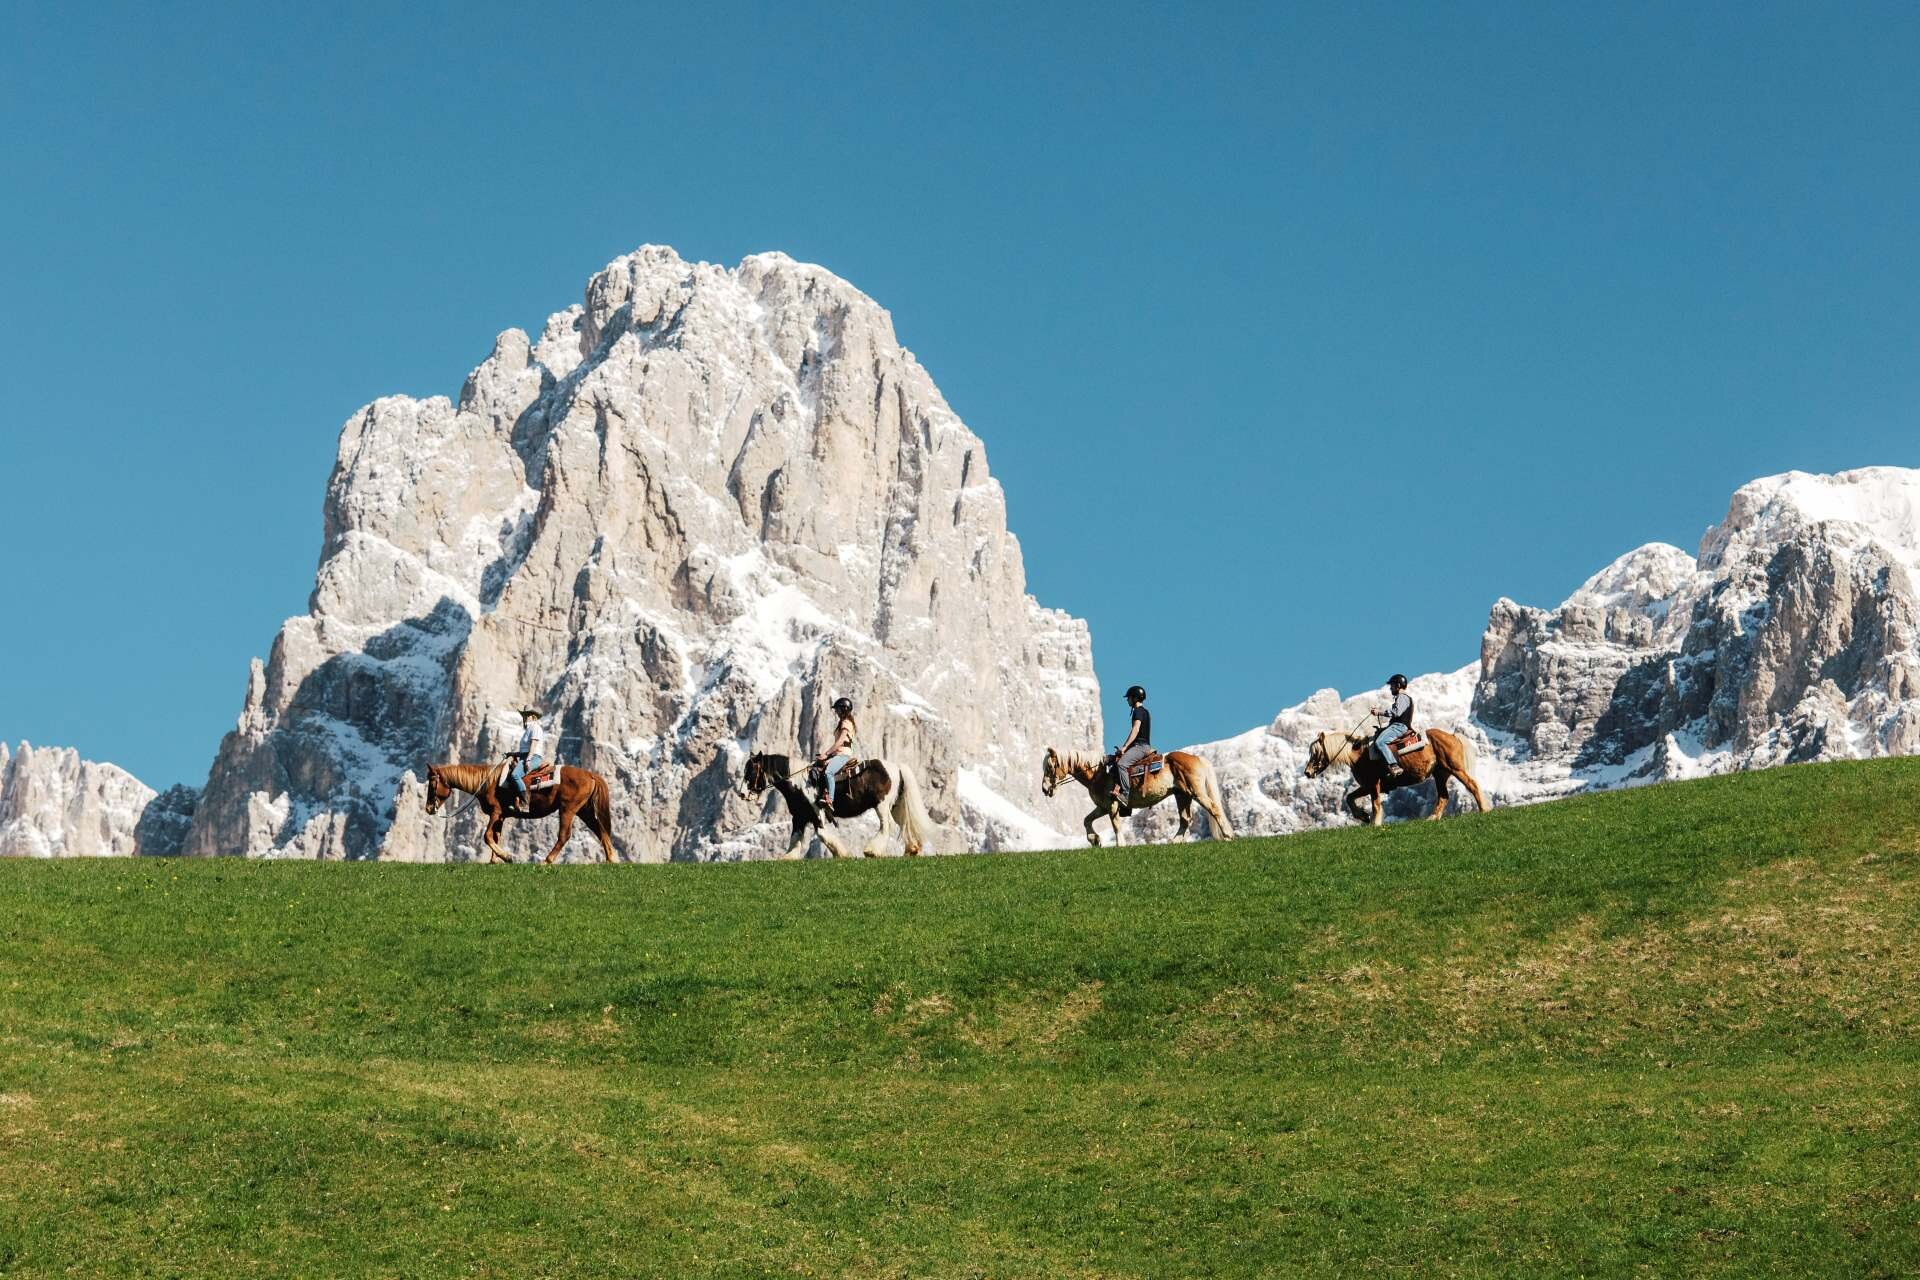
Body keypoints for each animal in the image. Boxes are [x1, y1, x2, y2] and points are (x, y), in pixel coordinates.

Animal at [422, 761, 618, 863]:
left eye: (432, 784)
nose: (429, 808)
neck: (488, 783)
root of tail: (591, 775)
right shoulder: (500, 817)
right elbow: (495, 836)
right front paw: (494, 861)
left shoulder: (495, 813)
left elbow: (487, 836)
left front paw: (507, 857)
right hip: (584, 811)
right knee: (601, 831)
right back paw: (611, 860)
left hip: (567, 809)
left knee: (564, 836)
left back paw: (546, 861)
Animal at [740, 752, 937, 858]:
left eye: (751, 771)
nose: (742, 794)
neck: (800, 783)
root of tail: (896, 767)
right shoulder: (800, 816)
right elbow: (795, 839)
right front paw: (787, 857)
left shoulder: (816, 814)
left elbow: (822, 834)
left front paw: (842, 854)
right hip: (896, 806)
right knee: (904, 824)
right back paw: (912, 849)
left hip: (882, 805)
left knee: (886, 826)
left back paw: (872, 851)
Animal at [1040, 747, 1236, 847]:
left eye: (1049, 767)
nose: (1044, 788)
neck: (1098, 773)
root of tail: (1197, 758)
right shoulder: (1102, 806)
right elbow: (1086, 820)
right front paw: (1095, 840)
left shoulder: (1111, 805)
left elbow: (1116, 825)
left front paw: (1120, 844)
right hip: (1182, 795)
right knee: (1185, 819)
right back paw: (1174, 841)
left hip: (1196, 792)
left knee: (1213, 808)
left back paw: (1227, 835)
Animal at [1302, 726, 1489, 825]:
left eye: (1316, 753)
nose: (1307, 772)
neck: (1358, 754)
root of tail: (1452, 736)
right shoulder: (1367, 786)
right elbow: (1349, 797)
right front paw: (1363, 816)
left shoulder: (1373, 785)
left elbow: (1375, 804)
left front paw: (1374, 823)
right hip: (1440, 774)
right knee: (1443, 797)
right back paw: (1432, 818)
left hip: (1455, 769)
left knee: (1472, 785)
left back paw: (1484, 810)